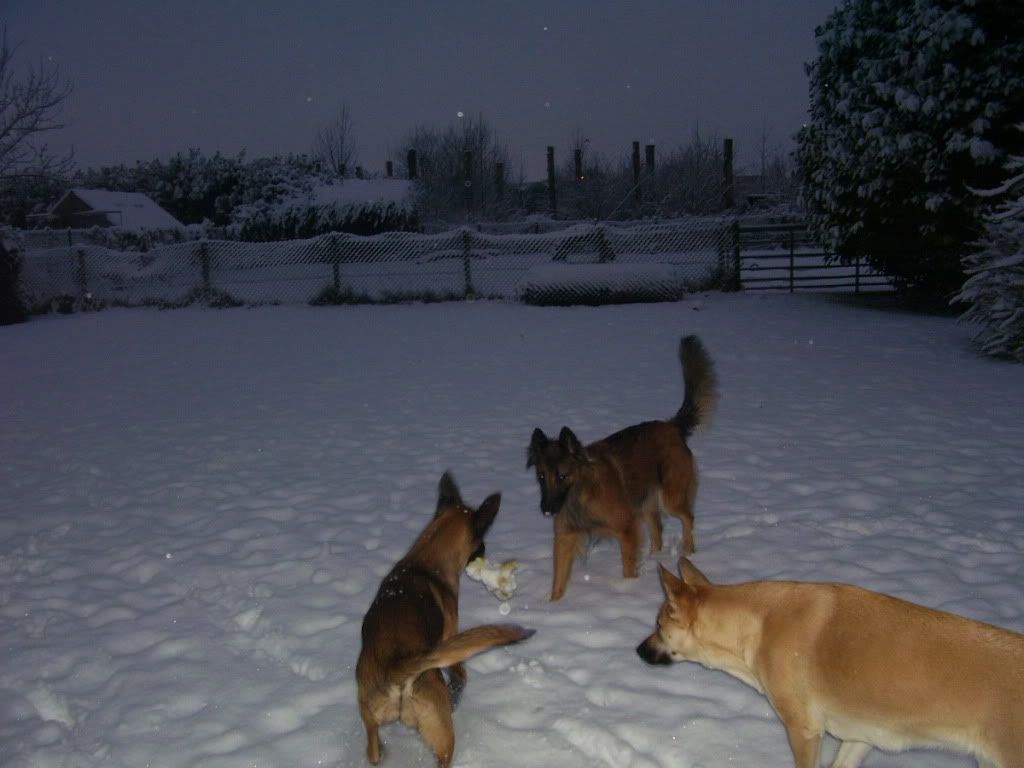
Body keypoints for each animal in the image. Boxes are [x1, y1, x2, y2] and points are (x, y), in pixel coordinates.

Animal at [356, 473, 536, 765]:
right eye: (481, 543)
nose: (483, 553)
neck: (426, 559)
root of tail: (397, 669)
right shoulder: (451, 632)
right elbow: (461, 675)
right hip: (442, 736)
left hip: (370, 723)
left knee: (374, 751)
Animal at [524, 335, 716, 602]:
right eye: (541, 476)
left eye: (562, 476)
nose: (547, 510)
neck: (580, 493)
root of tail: (673, 426)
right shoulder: (565, 538)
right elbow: (558, 582)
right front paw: (553, 606)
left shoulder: (627, 529)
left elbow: (628, 568)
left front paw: (630, 588)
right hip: (644, 502)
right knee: (657, 529)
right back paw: (654, 559)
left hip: (671, 498)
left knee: (688, 517)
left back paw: (688, 552)